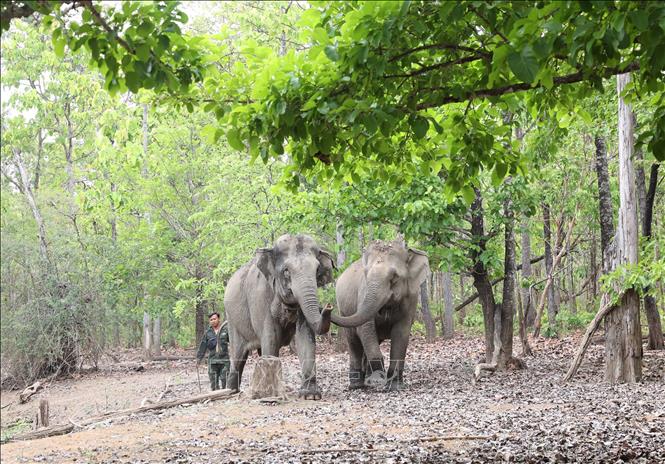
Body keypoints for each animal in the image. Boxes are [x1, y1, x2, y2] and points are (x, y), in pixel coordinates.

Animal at [224, 234, 334, 399]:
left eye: (317, 270)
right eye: (286, 271)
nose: (328, 306)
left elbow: (305, 337)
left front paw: (310, 395)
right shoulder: (260, 298)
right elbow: (271, 338)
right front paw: (269, 394)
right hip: (232, 320)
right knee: (238, 355)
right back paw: (230, 392)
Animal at [331, 240, 429, 391]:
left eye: (394, 276)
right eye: (366, 273)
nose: (326, 308)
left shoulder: (411, 298)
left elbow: (401, 332)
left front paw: (395, 386)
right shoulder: (363, 293)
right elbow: (365, 328)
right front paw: (377, 380)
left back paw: (366, 380)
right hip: (344, 310)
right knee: (354, 341)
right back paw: (357, 385)